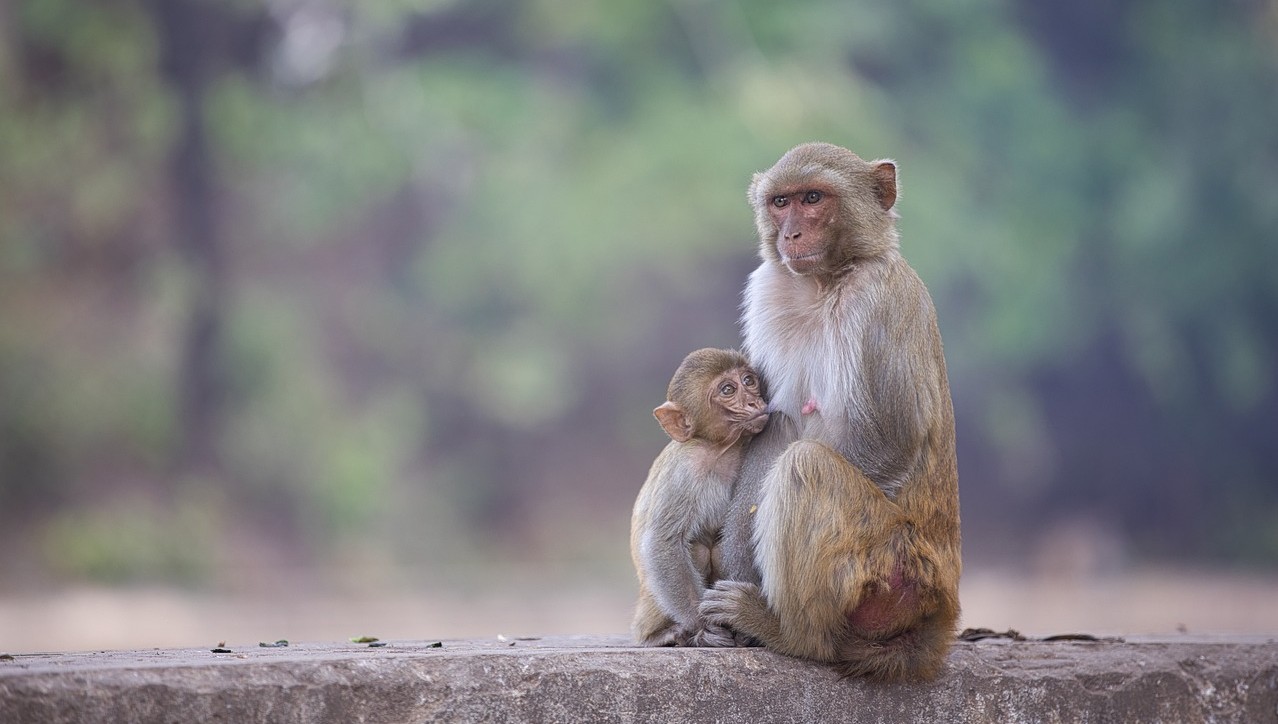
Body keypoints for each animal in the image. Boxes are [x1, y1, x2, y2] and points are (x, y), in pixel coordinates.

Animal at [628, 347, 766, 648]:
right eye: (728, 390)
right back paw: (660, 634)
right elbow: (664, 541)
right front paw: (704, 626)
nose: (754, 402)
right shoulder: (685, 469)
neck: (721, 450)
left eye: (748, 381)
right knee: (698, 550)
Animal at [700, 140, 961, 679]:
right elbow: (774, 427)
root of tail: (939, 610)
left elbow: (888, 441)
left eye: (814, 198)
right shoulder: (769, 290)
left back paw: (792, 633)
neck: (827, 283)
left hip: (892, 571)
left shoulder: (879, 302)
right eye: (781, 202)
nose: (791, 234)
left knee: (806, 468)